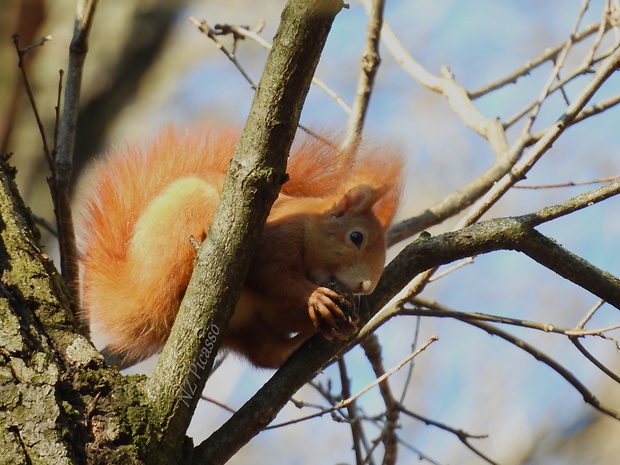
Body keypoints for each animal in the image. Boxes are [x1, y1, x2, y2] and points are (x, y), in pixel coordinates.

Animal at [77, 125, 404, 368]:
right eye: (356, 237)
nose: (365, 286)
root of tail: (137, 296)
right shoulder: (276, 238)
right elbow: (269, 275)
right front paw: (316, 297)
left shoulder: (274, 310)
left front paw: (337, 319)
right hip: (186, 218)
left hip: (240, 328)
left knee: (266, 353)